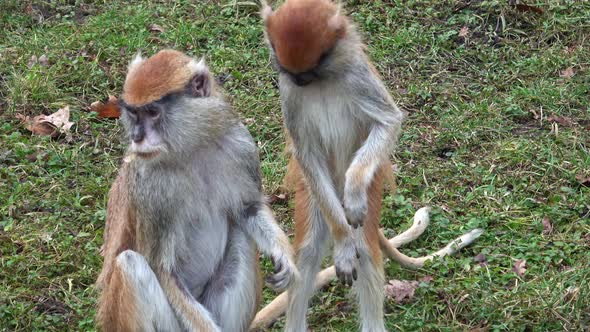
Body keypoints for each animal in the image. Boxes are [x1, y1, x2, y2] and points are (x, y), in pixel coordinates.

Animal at [98, 50, 300, 332]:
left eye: (153, 112)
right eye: (134, 114)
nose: (137, 137)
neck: (191, 149)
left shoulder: (241, 145)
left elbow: (248, 208)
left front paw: (286, 259)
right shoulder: (151, 190)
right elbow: (163, 270)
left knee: (241, 236)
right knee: (130, 264)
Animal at [262, 1, 484, 330]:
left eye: (317, 65)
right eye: (291, 71)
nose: (300, 81)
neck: (323, 81)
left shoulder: (357, 76)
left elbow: (388, 122)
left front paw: (353, 194)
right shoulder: (288, 93)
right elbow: (308, 154)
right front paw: (343, 245)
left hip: (374, 183)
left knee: (366, 250)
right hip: (312, 194)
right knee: (309, 251)